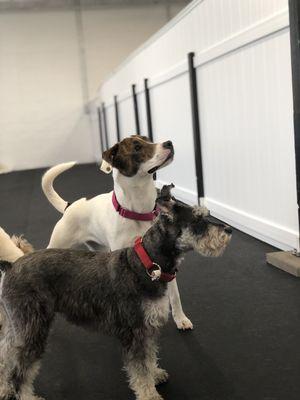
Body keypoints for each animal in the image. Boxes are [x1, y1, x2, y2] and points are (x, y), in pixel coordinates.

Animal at [41, 136, 192, 330]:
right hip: (58, 243)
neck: (139, 213)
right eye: (137, 147)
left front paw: (181, 319)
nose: (169, 143)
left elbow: (175, 295)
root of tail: (70, 206)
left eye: (148, 139)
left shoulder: (165, 261)